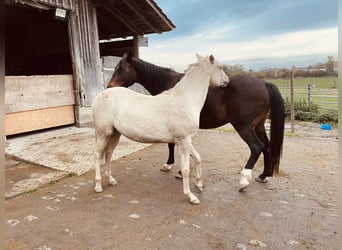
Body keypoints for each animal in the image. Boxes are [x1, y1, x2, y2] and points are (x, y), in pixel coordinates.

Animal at [91, 53, 230, 204]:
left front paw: (199, 185)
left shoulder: (187, 140)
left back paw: (111, 180)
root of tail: (99, 96)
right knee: (98, 155)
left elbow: (198, 158)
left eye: (121, 68)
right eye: (220, 67)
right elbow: (185, 169)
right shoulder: (183, 141)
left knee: (108, 153)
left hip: (114, 134)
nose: (227, 81)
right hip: (103, 134)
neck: (185, 99)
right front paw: (191, 196)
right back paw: (98, 186)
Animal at [108, 51, 284, 190]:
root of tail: (264, 83)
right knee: (266, 145)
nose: (109, 87)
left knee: (257, 147)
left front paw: (172, 167)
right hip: (259, 126)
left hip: (244, 127)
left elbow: (171, 145)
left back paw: (244, 180)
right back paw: (264, 175)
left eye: (121, 68)